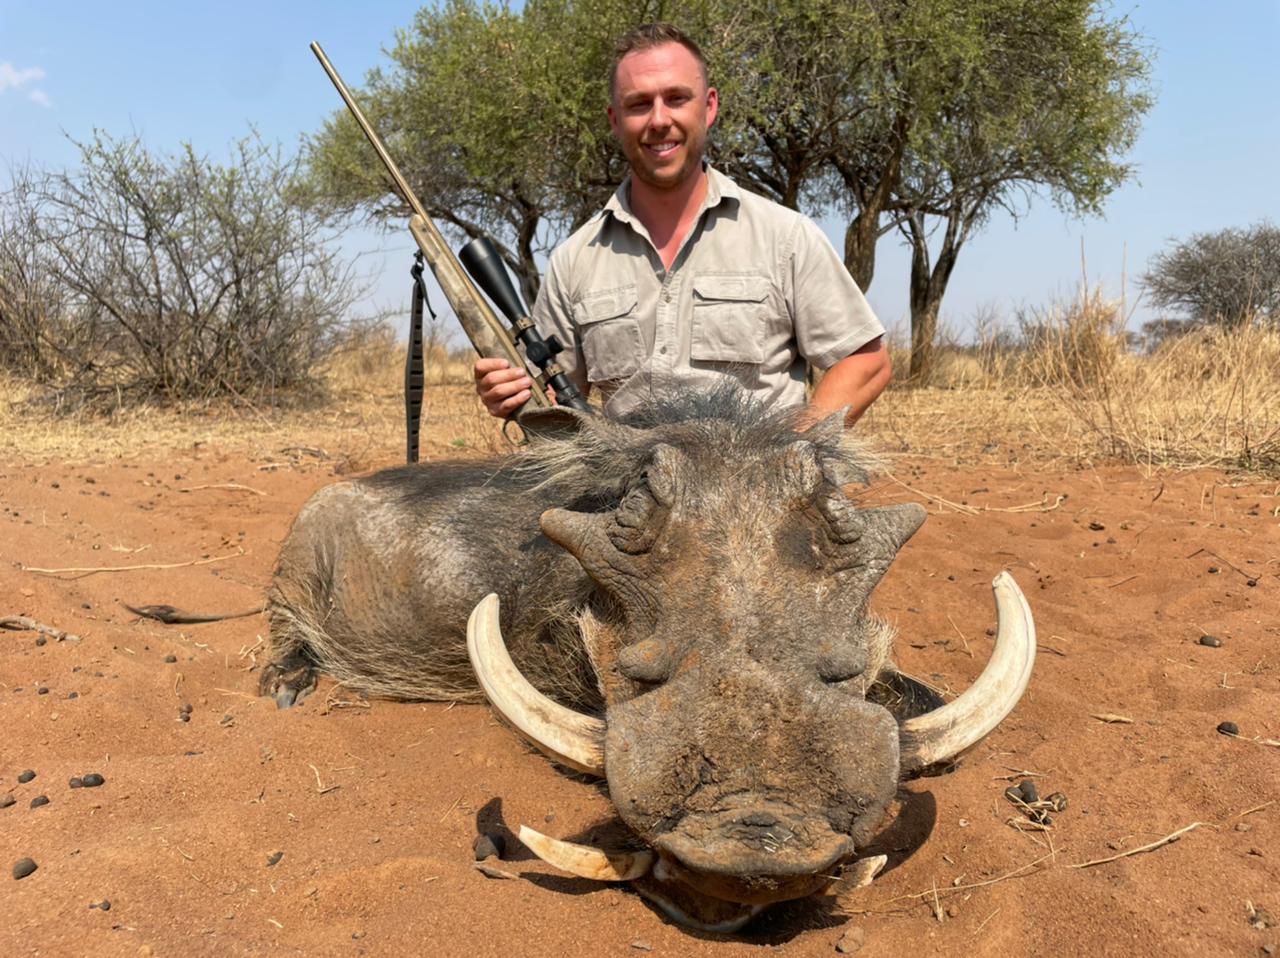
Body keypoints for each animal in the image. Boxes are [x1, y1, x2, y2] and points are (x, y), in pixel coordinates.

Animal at [262, 388, 1035, 931]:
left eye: (833, 503)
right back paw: (286, 689)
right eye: (634, 501)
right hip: (291, 566)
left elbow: (921, 696)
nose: (756, 842)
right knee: (281, 630)